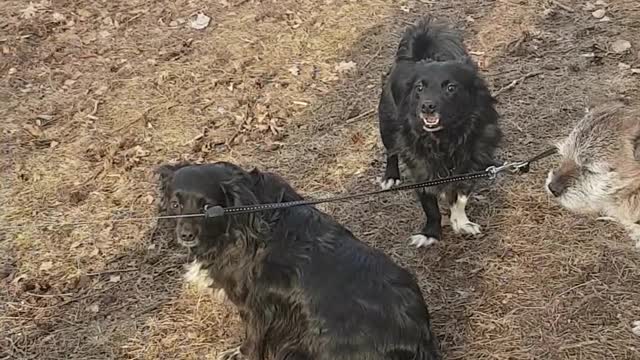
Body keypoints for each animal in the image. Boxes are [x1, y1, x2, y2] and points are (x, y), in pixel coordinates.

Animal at [158, 162, 442, 360]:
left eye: (208, 207)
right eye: (175, 204)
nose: (185, 235)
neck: (243, 215)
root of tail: (419, 340)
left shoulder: (254, 306)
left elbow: (252, 339)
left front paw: (240, 353)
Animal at [378, 16, 502, 248]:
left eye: (450, 87)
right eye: (419, 88)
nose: (427, 106)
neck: (445, 138)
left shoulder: (470, 163)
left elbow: (461, 195)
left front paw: (460, 221)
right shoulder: (421, 169)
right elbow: (430, 206)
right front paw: (430, 234)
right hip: (386, 126)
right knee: (391, 152)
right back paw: (390, 177)